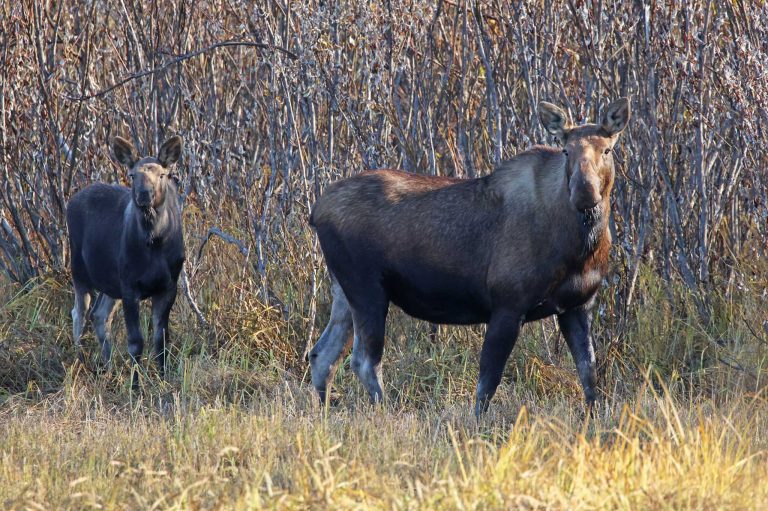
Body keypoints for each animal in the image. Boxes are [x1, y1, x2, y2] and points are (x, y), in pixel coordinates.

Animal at [66, 135, 185, 389]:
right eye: (132, 175)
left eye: (162, 174)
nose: (144, 195)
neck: (155, 242)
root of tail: (72, 200)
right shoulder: (131, 286)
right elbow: (136, 341)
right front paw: (135, 385)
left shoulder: (169, 286)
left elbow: (161, 339)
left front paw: (163, 379)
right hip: (80, 272)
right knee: (79, 314)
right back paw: (81, 364)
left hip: (110, 283)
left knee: (99, 316)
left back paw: (109, 369)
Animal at [307, 98, 630, 416]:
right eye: (566, 150)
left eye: (607, 149)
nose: (584, 193)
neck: (581, 247)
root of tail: (316, 211)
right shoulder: (508, 305)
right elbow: (487, 383)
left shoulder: (577, 306)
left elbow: (589, 373)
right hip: (367, 288)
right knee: (363, 360)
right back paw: (382, 412)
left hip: (344, 289)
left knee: (322, 355)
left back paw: (324, 413)